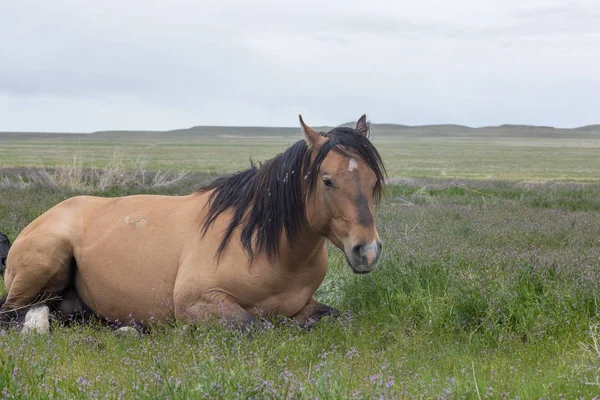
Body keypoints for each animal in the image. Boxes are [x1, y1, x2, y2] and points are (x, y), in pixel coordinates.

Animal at [0, 115, 386, 332]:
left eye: (372, 181)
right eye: (327, 180)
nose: (367, 251)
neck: (267, 246)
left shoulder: (307, 305)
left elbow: (332, 316)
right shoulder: (197, 303)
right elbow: (260, 327)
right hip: (45, 262)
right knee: (12, 314)